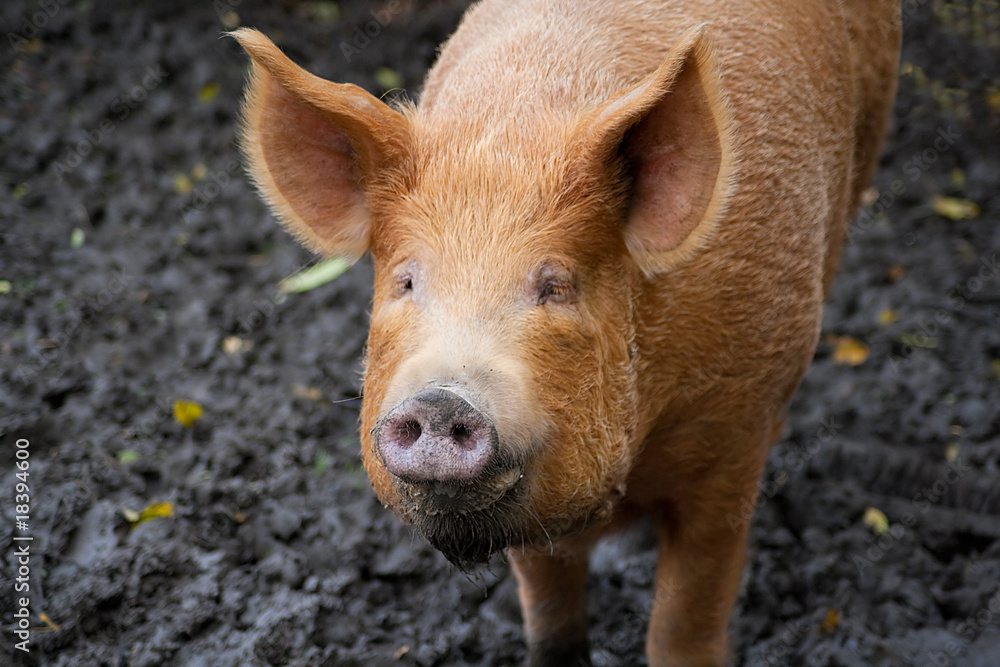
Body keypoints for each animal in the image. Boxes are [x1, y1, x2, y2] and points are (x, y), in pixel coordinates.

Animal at [231, 0, 900, 663]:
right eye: (407, 281)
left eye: (556, 286)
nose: (441, 401)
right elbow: (550, 604)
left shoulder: (736, 433)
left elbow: (685, 615)